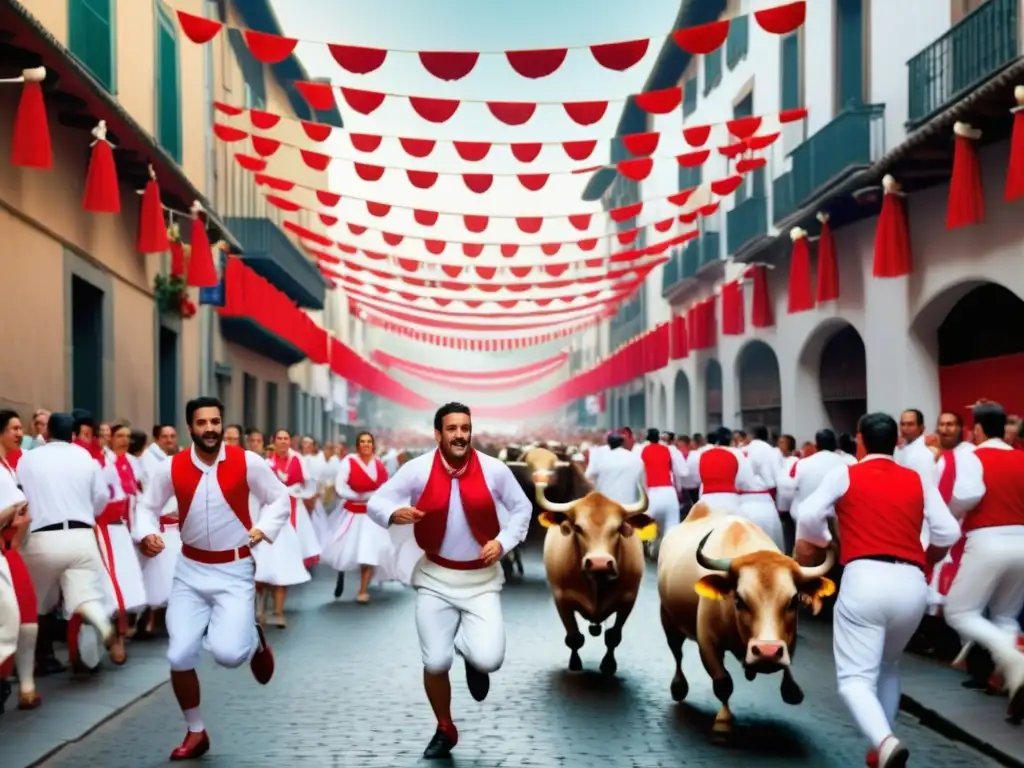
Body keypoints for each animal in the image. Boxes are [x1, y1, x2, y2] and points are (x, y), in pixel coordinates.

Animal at [532, 450, 651, 671]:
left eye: (618, 528)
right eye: (578, 528)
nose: (599, 562)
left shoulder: (628, 599)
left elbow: (613, 637)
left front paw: (608, 664)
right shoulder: (561, 598)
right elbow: (574, 638)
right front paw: (575, 663)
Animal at [655, 505, 831, 741]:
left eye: (793, 601)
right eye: (738, 599)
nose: (767, 651)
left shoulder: (788, 638)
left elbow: (787, 665)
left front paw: (792, 690)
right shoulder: (707, 642)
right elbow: (723, 682)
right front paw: (723, 721)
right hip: (668, 619)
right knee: (677, 653)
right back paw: (679, 687)